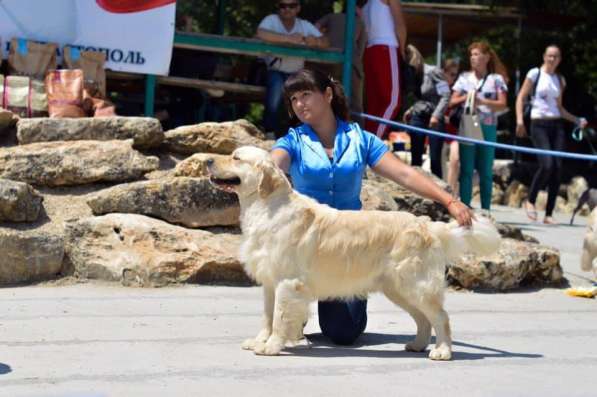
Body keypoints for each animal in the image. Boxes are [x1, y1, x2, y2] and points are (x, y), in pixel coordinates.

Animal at [207, 145, 500, 358]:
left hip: (416, 283)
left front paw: (271, 346)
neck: (267, 207)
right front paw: (259, 340)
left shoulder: (287, 283)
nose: (208, 161)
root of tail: (426, 223)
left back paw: (443, 351)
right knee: (423, 319)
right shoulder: (270, 282)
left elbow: (279, 318)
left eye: (235, 157)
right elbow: (267, 316)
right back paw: (417, 345)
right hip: (399, 288)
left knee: (440, 317)